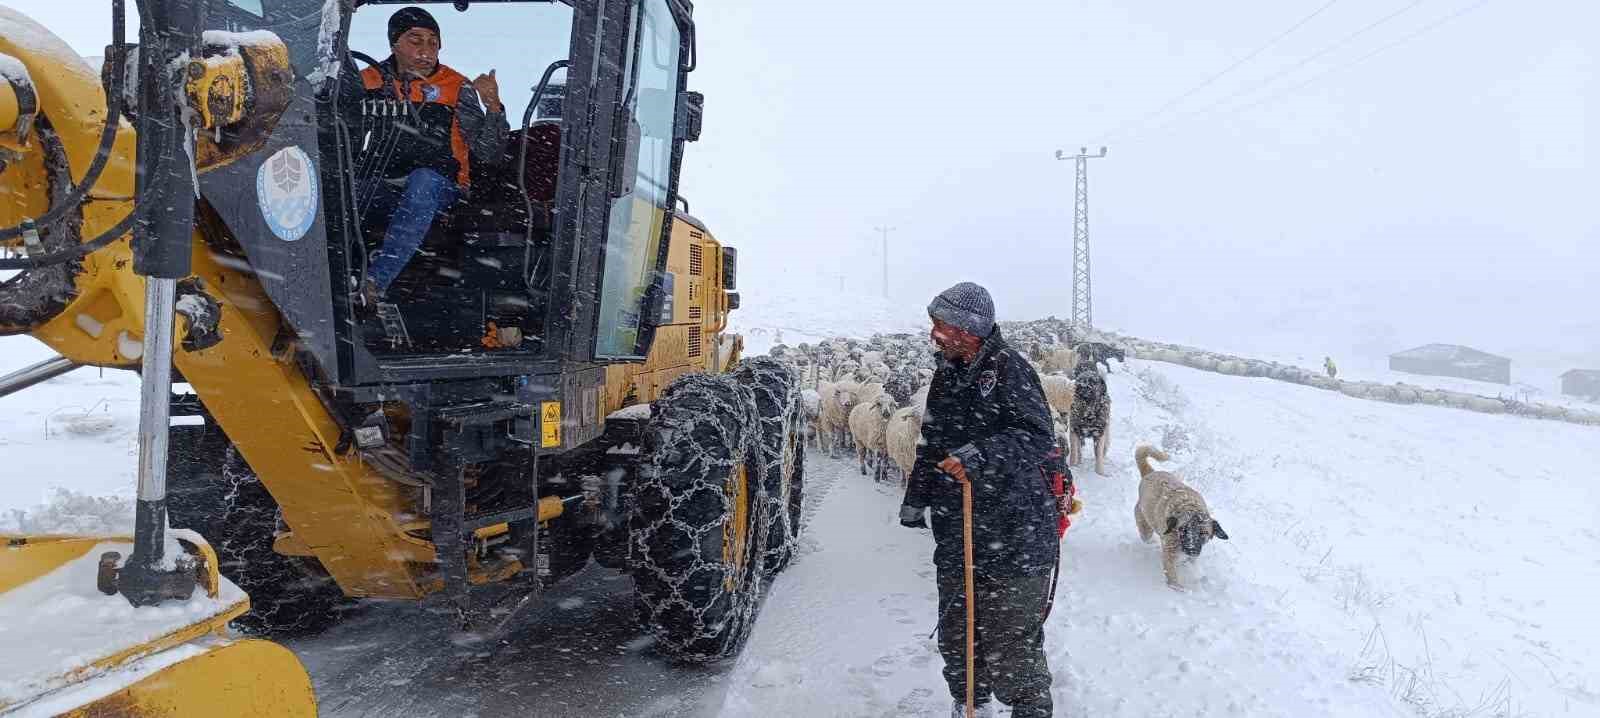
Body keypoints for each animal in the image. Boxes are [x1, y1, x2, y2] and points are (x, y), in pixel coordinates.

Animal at [1132, 444, 1228, 591]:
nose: (1191, 549)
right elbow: (1172, 576)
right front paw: (1179, 589)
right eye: (1183, 529)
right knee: (1146, 536)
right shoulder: (1169, 553)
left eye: (1203, 533)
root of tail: (1150, 473)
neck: (1191, 508)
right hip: (1145, 525)